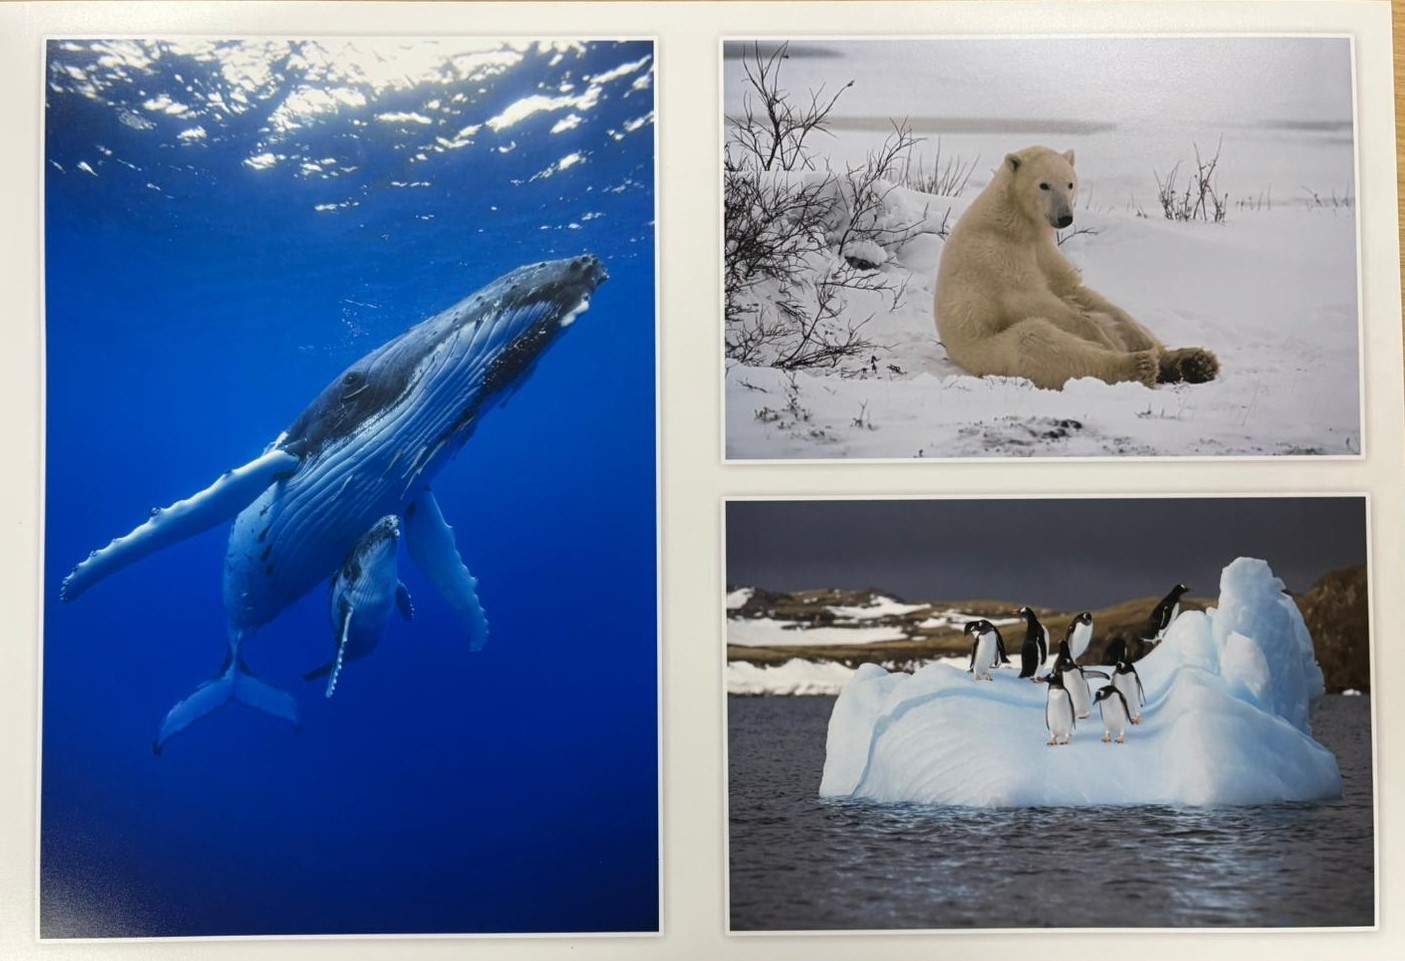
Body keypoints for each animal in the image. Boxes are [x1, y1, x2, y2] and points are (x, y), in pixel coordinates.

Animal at [933, 145, 1219, 390]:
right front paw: (1104, 341)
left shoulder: (1045, 252)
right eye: (1044, 184)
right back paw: (1140, 364)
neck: (1014, 221)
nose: (1064, 217)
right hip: (989, 351)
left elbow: (1076, 290)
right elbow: (1031, 300)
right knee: (1035, 342)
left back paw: (1193, 361)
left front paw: (1143, 340)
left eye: (1070, 183)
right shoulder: (995, 256)